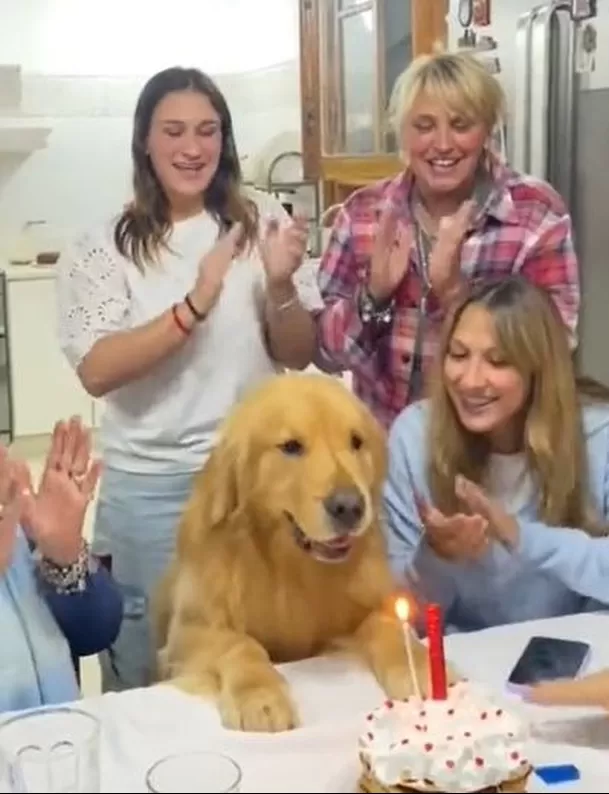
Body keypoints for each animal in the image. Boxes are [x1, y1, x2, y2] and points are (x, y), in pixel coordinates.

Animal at [157, 372, 432, 732]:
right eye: (290, 447)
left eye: (356, 442)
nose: (350, 508)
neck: (290, 568)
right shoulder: (188, 632)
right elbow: (240, 644)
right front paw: (259, 697)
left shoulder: (369, 609)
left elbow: (390, 629)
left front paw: (423, 671)